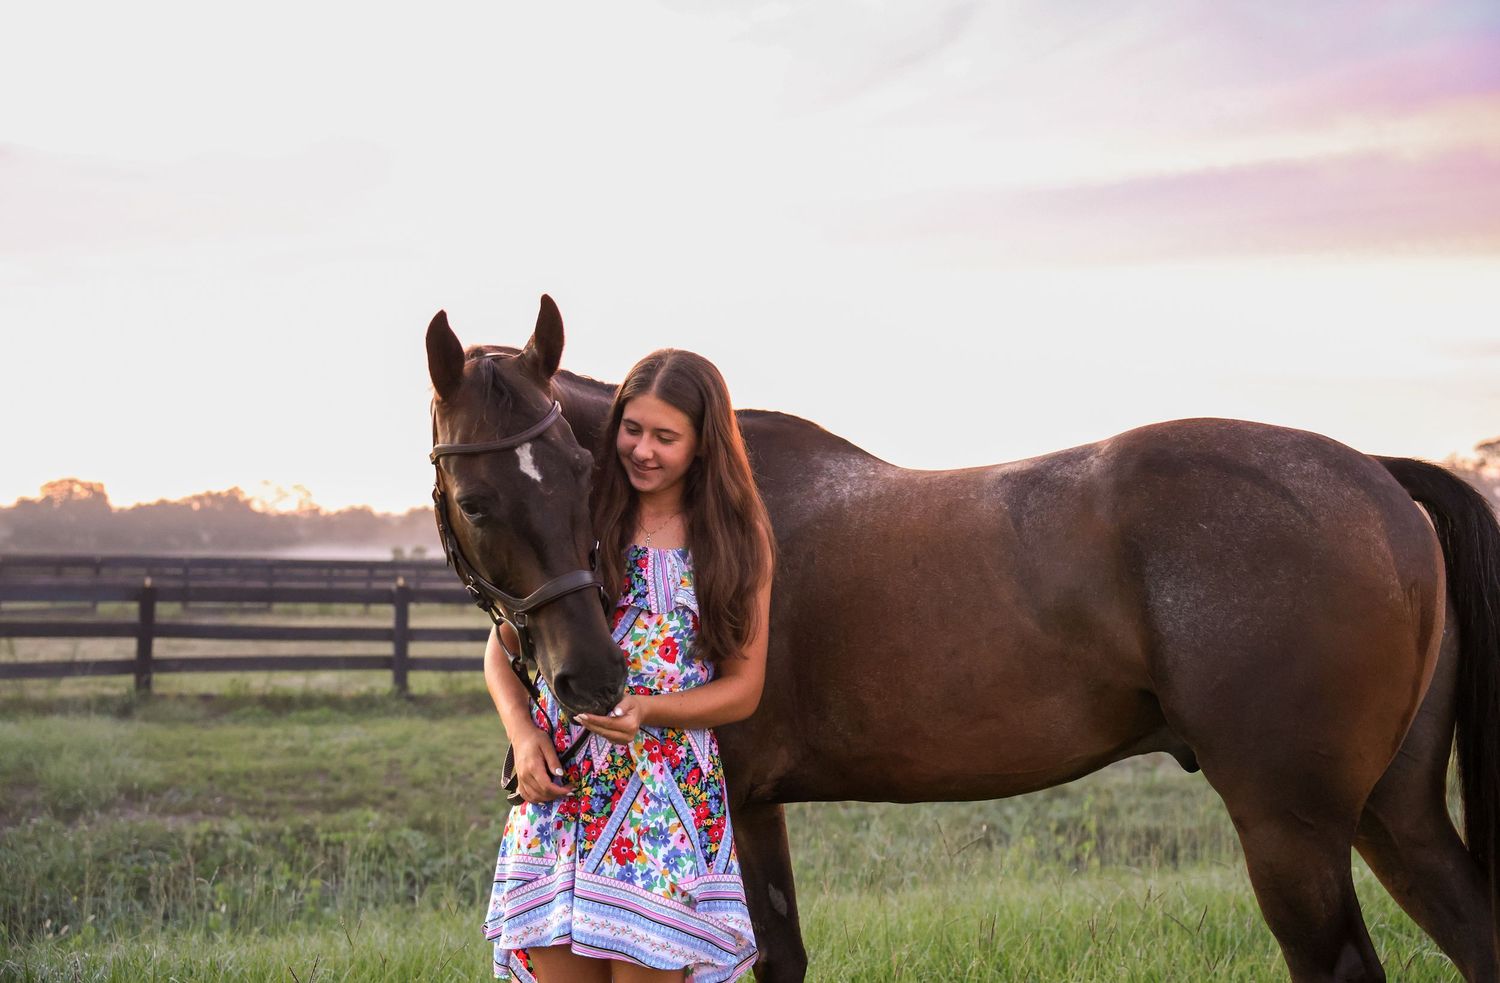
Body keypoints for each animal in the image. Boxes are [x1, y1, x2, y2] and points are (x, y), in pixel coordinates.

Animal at [426, 297, 1500, 982]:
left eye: (582, 471)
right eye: (480, 498)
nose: (591, 680)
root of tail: (1377, 474)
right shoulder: (758, 808)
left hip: (1292, 828)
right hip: (1394, 813)